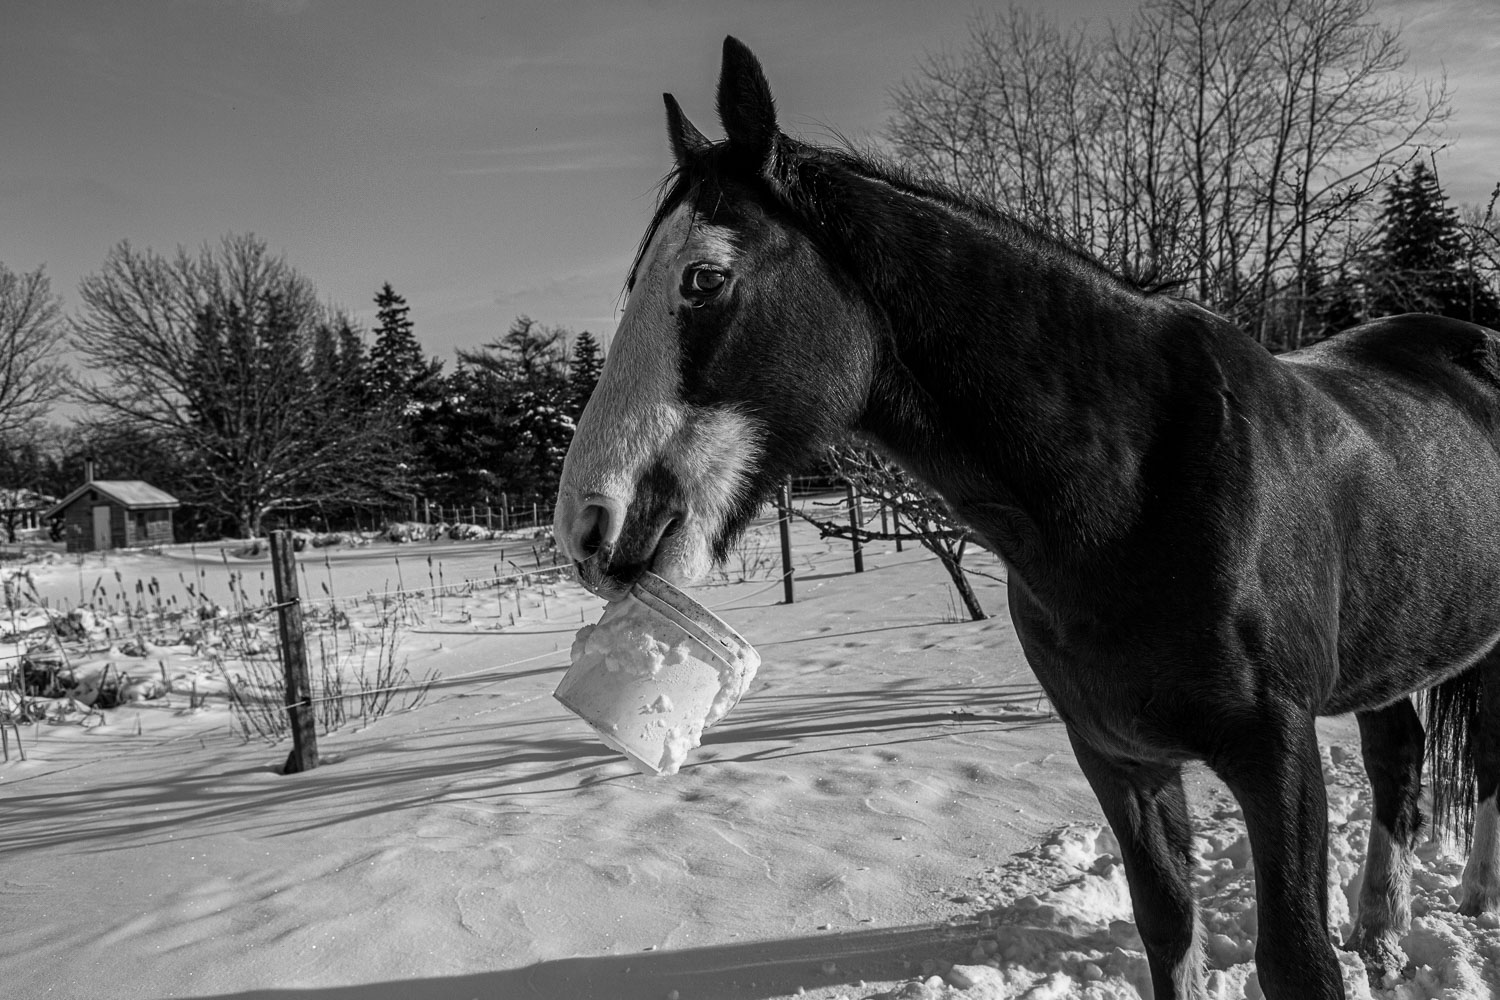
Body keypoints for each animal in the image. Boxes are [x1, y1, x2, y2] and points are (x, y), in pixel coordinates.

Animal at [558, 35, 1500, 995]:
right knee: (1399, 761)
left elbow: (1296, 958)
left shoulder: (1278, 755)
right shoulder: (1118, 758)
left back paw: (1468, 897)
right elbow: (1168, 926)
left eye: (704, 279)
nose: (588, 523)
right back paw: (1383, 930)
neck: (1134, 494)